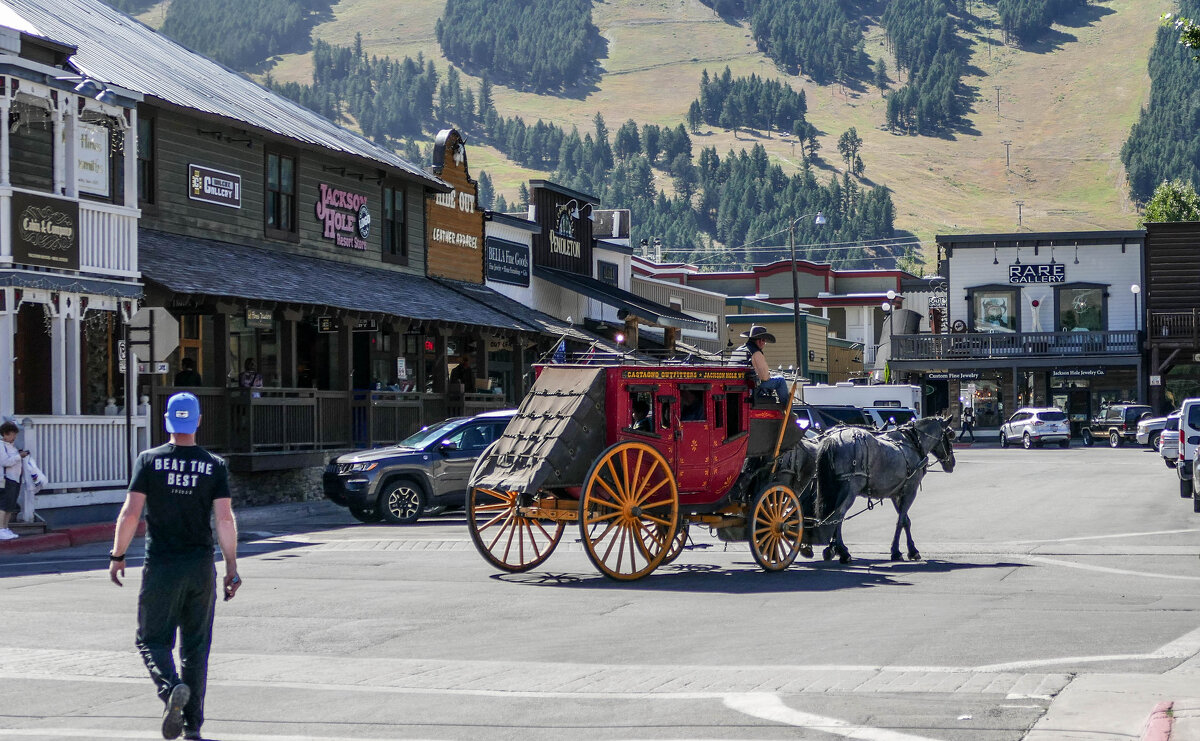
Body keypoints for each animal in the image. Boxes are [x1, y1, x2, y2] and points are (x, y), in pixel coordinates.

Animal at [806, 414, 955, 558]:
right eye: (949, 435)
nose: (952, 463)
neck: (913, 443)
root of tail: (833, 440)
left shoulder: (896, 493)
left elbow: (906, 520)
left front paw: (911, 550)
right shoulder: (910, 490)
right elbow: (901, 520)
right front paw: (897, 551)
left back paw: (832, 548)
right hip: (850, 489)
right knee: (838, 516)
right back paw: (842, 551)